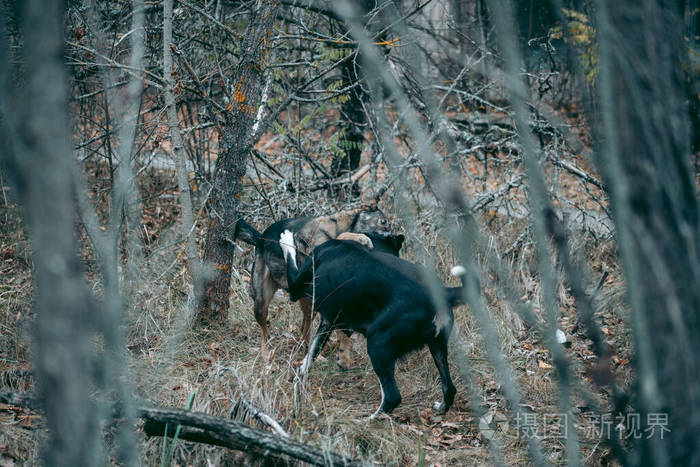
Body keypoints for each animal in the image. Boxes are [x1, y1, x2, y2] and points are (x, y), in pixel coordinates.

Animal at [234, 208, 388, 366]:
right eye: (383, 222)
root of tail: (261, 238)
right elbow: (341, 237)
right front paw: (361, 238)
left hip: (309, 303)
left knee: (304, 329)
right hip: (261, 302)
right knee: (264, 330)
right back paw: (266, 353)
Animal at [278, 230, 464, 416]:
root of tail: (443, 294)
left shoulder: (295, 288)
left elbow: (290, 255)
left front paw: (286, 237)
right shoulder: (327, 323)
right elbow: (310, 356)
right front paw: (300, 375)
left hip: (377, 344)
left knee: (392, 396)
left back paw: (369, 418)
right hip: (437, 347)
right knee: (449, 388)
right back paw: (440, 407)